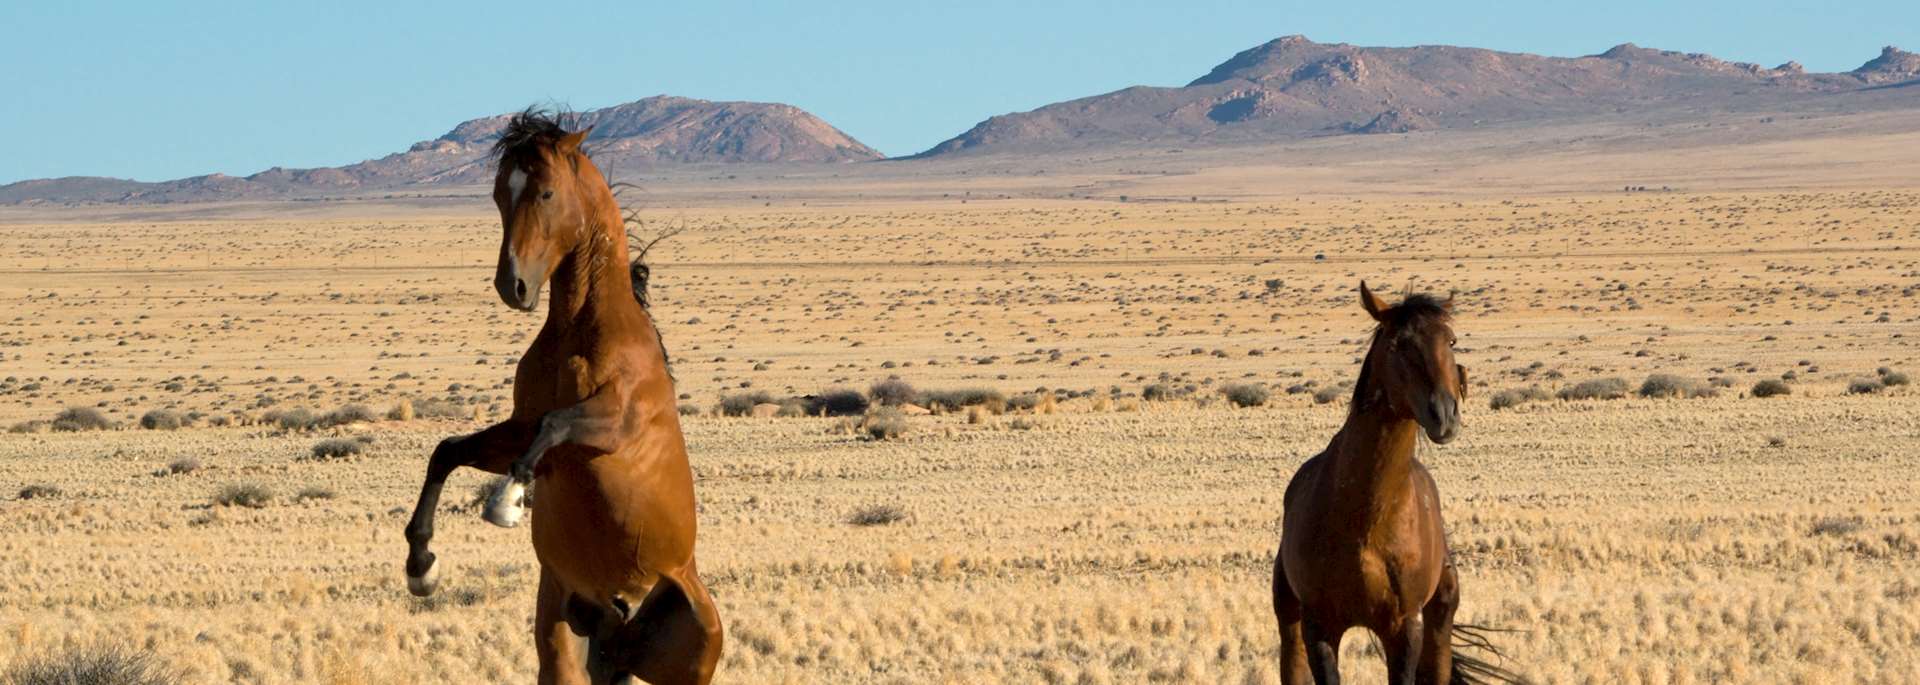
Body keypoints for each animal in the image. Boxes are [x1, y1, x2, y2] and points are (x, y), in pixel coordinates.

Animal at [401, 110, 723, 685]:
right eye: (498, 194)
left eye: (547, 192)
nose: (513, 286)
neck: (581, 330)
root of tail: (624, 624)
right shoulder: (517, 429)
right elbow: (448, 450)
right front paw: (421, 568)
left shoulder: (613, 427)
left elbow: (556, 423)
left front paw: (506, 502)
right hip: (563, 637)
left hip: (690, 665)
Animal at [1272, 282, 1522, 685]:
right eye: (1397, 344)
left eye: (1451, 341)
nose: (1444, 415)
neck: (1364, 518)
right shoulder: (1319, 627)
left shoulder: (1404, 628)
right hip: (1290, 621)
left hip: (1439, 624)